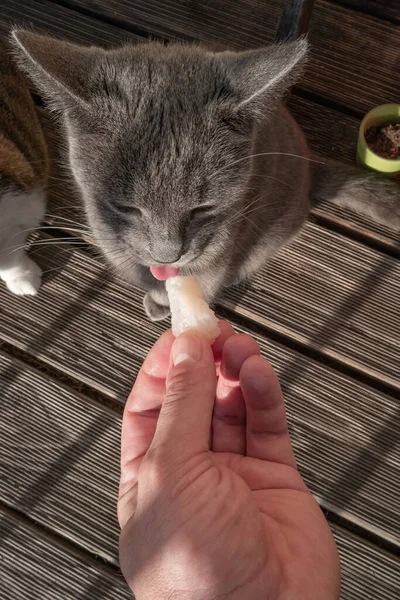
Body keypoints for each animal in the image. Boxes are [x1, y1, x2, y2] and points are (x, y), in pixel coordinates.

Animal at [10, 32, 398, 322]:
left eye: (203, 208)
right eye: (126, 207)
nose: (167, 255)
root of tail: (309, 161)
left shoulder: (219, 251)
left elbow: (200, 281)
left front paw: (166, 304)